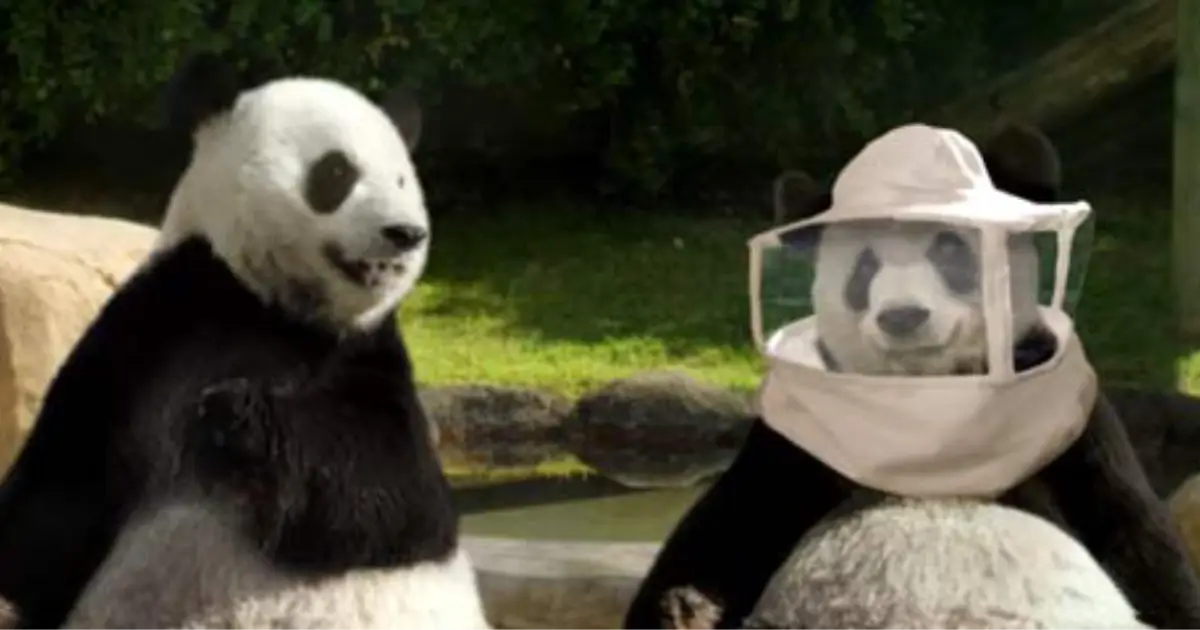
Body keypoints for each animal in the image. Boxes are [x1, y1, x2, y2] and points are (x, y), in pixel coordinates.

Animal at [0, 53, 492, 630]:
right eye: (337, 172)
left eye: (401, 179)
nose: (405, 233)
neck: (274, 310)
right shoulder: (161, 322)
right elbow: (57, 498)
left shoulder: (370, 352)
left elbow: (397, 495)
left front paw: (238, 413)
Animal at [623, 123, 1200, 630]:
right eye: (864, 268)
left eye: (948, 249)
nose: (903, 316)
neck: (928, 414)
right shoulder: (798, 447)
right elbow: (721, 534)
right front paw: (684, 609)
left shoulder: (1072, 433)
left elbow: (1142, 549)